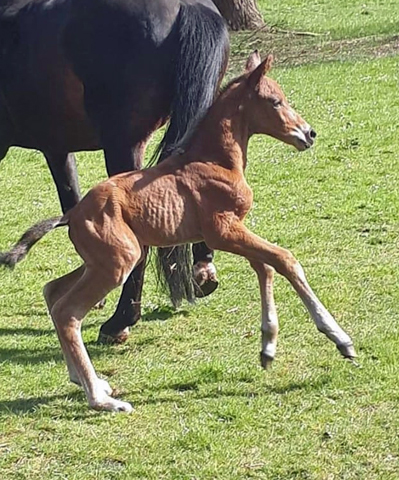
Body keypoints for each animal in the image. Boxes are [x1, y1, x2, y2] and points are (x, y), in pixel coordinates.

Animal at [1, 53, 358, 412]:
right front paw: (341, 339)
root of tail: (72, 214)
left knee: (52, 292)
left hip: (103, 260)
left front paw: (267, 347)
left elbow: (265, 267)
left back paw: (85, 380)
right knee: (68, 312)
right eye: (275, 101)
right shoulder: (222, 231)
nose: (309, 133)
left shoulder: (233, 232)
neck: (216, 160)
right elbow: (285, 260)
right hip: (118, 262)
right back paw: (101, 399)